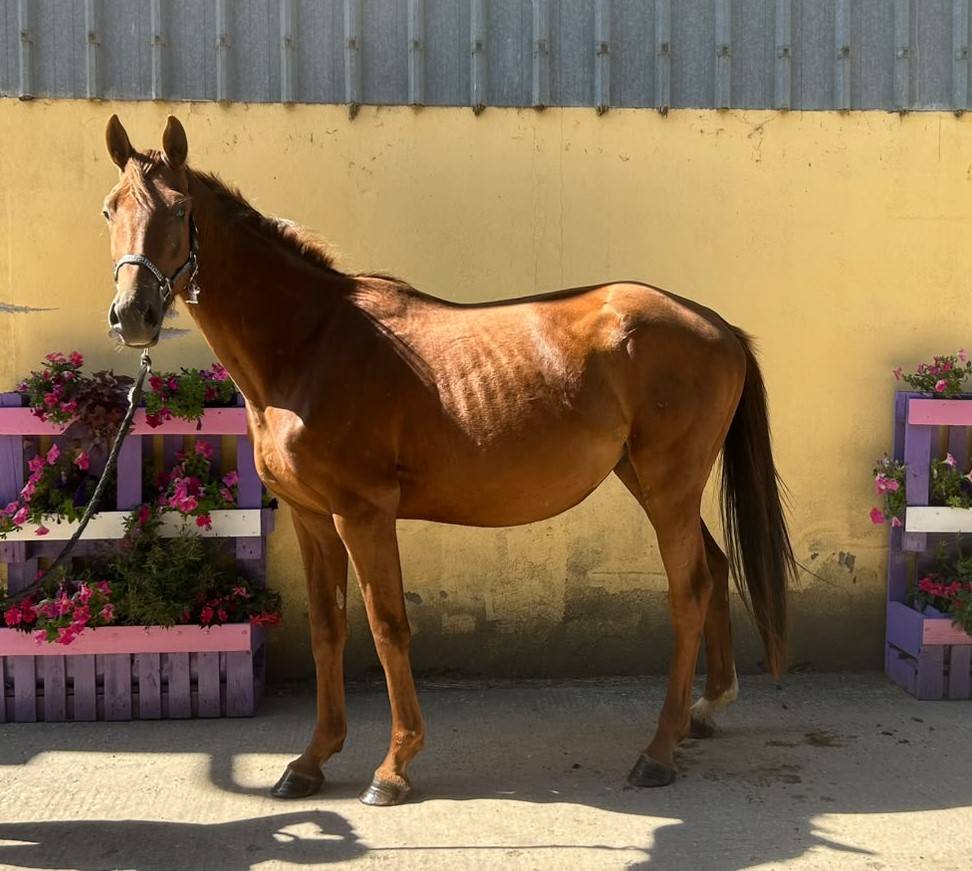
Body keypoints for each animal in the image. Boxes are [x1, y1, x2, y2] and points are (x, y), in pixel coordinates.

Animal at [101, 114, 795, 806]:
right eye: (110, 209)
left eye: (180, 208)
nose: (133, 315)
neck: (310, 344)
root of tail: (718, 327)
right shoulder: (312, 518)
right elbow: (328, 628)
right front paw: (311, 760)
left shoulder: (363, 514)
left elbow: (387, 626)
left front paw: (393, 767)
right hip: (648, 480)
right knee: (714, 567)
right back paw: (705, 711)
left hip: (668, 483)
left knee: (690, 589)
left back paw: (657, 751)